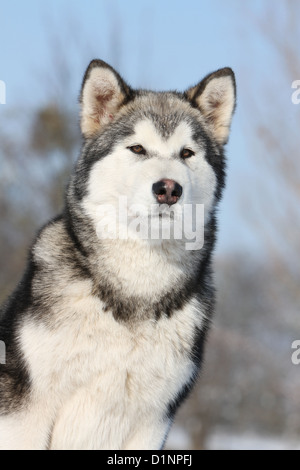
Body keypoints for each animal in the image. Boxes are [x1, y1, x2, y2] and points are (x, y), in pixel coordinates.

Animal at [0, 60, 236, 450]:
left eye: (187, 153)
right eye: (137, 149)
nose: (168, 189)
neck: (134, 294)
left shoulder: (153, 421)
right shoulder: (25, 413)